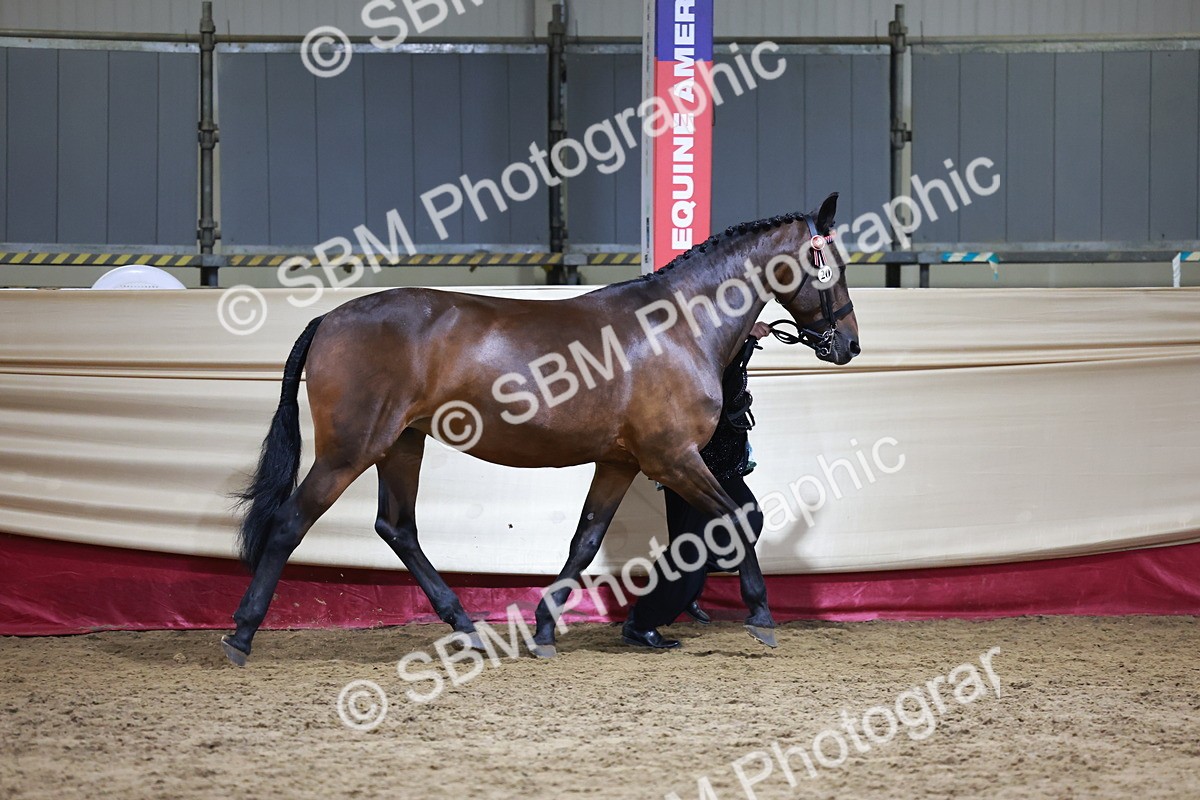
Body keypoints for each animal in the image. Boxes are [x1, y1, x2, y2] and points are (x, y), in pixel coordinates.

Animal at [221, 192, 859, 665]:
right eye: (833, 266)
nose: (849, 345)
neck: (679, 325)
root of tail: (329, 318)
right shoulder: (673, 458)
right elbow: (733, 520)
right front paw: (761, 617)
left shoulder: (621, 462)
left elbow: (585, 541)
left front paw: (546, 630)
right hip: (349, 450)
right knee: (290, 523)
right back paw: (242, 635)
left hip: (402, 444)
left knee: (397, 527)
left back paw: (466, 626)